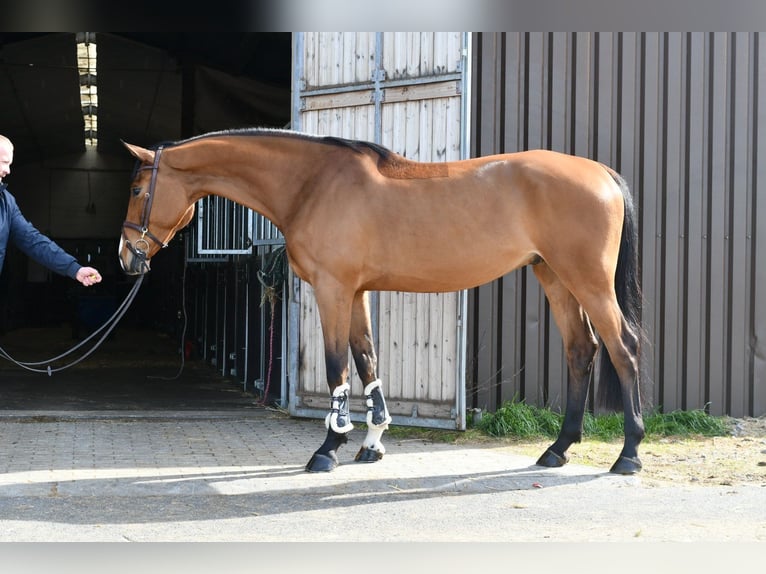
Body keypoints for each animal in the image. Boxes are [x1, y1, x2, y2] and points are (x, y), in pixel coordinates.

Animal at [119, 127, 644, 475]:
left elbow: (337, 367)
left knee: (624, 349)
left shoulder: (332, 289)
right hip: (554, 276)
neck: (312, 184)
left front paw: (328, 449)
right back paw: (558, 449)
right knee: (581, 351)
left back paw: (628, 455)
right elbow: (366, 360)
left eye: (138, 189)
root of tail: (601, 173)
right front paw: (372, 443)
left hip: (588, 281)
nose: (127, 257)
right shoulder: (356, 292)